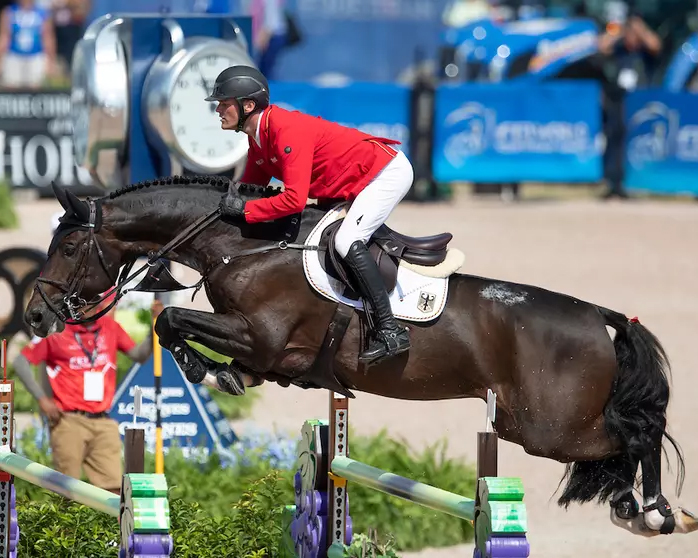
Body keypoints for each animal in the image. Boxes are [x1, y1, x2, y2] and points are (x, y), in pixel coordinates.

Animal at [24, 178, 692, 540]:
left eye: (68, 247)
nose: (33, 317)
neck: (243, 244)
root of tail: (599, 316)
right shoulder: (263, 349)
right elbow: (177, 326)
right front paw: (219, 372)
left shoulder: (262, 337)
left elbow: (169, 321)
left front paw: (206, 369)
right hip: (536, 426)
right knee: (627, 440)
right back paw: (635, 507)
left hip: (547, 427)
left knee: (638, 431)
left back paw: (655, 514)